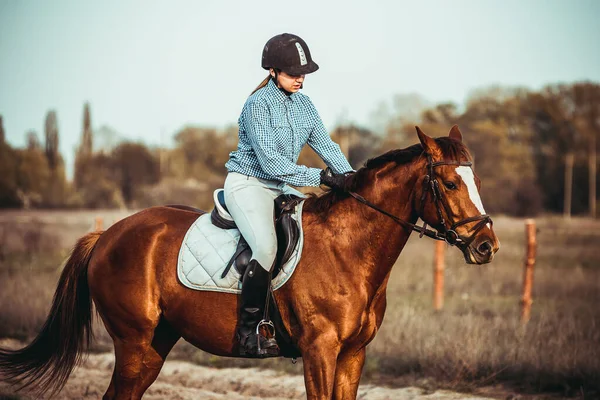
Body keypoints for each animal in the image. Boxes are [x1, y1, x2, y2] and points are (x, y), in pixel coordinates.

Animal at [0, 126, 496, 400]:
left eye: (475, 179)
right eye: (450, 184)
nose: (486, 245)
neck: (349, 251)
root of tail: (107, 235)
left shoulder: (353, 354)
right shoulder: (319, 351)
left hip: (156, 344)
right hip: (134, 342)